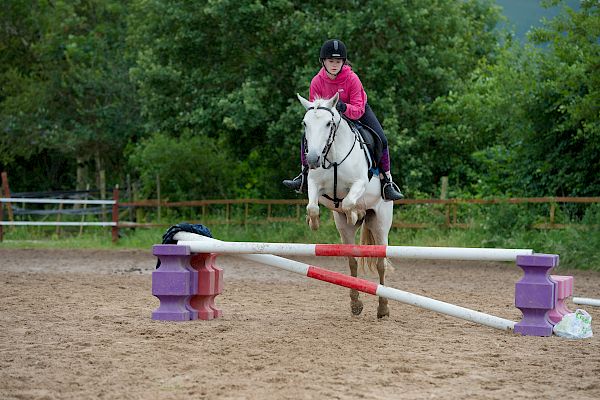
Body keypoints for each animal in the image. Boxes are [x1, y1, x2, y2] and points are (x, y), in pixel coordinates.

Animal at [296, 93, 394, 318]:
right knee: (352, 261)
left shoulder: (359, 183)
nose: (312, 159)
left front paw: (353, 214)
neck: (332, 156)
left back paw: (383, 307)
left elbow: (349, 201)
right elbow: (312, 207)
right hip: (343, 229)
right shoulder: (314, 185)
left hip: (381, 222)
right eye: (305, 124)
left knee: (381, 263)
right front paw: (313, 223)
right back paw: (355, 304)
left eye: (328, 123)